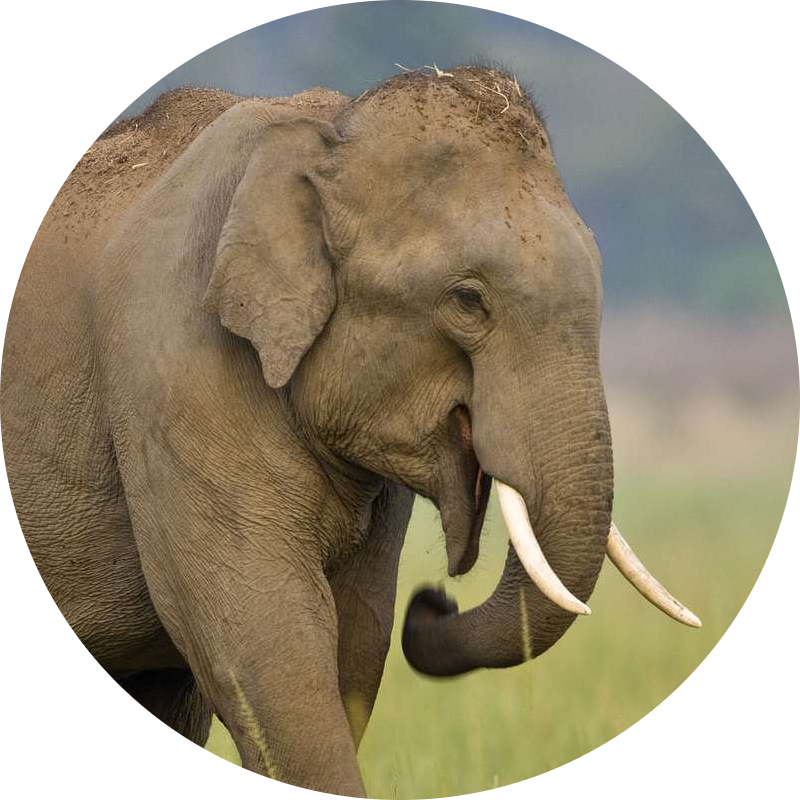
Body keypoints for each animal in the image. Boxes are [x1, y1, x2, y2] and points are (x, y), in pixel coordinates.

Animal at [1, 66, 699, 796]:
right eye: (468, 301)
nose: (434, 602)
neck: (322, 137)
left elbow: (355, 642)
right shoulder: (173, 369)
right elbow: (266, 645)